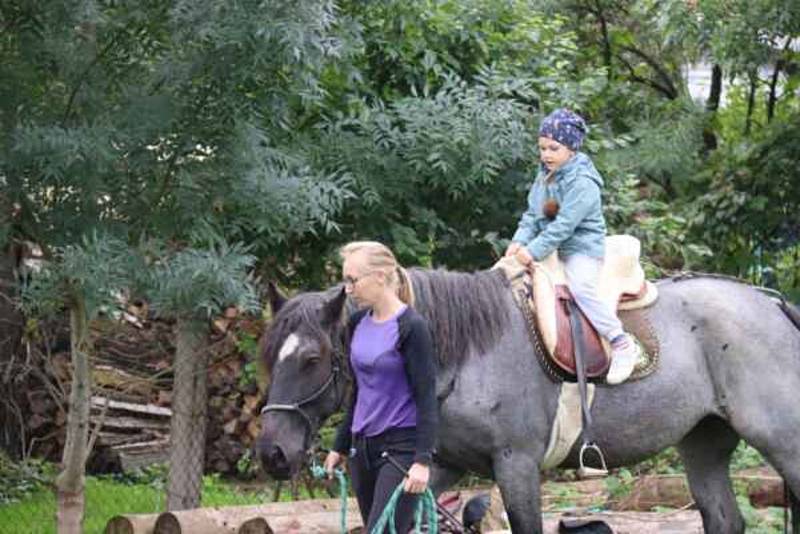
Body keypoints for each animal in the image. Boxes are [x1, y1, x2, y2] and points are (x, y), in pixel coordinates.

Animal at [255, 270, 800, 532]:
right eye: (269, 354)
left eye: (312, 358)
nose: (273, 453)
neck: (466, 354)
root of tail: (770, 302)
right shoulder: (440, 467)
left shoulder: (516, 466)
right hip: (703, 444)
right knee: (725, 520)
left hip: (783, 443)